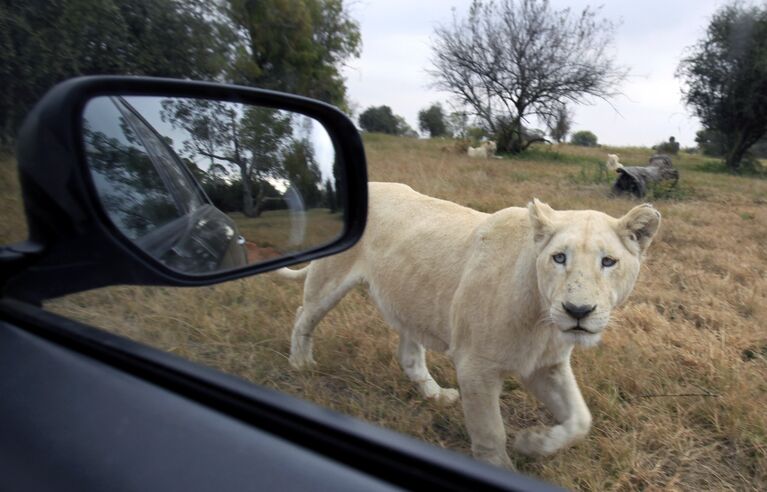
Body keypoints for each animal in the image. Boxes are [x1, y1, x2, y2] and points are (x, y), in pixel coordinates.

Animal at [280, 182, 664, 468]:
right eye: (559, 257)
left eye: (608, 261)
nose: (578, 310)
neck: (542, 321)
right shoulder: (475, 368)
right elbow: (491, 433)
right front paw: (503, 466)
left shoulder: (546, 366)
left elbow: (581, 420)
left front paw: (534, 442)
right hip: (329, 279)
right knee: (302, 314)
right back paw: (300, 364)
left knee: (409, 355)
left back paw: (436, 395)